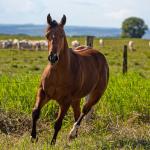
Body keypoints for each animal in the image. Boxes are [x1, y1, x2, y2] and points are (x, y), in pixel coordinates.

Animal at [30, 13, 109, 145]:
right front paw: (33, 137)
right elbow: (35, 112)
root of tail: (100, 56)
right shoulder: (44, 93)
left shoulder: (66, 101)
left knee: (84, 111)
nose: (53, 57)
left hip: (96, 94)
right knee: (77, 113)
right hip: (76, 99)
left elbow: (58, 123)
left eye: (62, 35)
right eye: (47, 35)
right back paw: (74, 136)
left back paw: (72, 134)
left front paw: (52, 143)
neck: (58, 74)